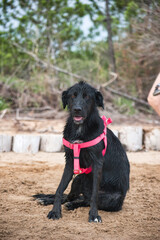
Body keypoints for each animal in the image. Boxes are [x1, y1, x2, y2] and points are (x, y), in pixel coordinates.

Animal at [34, 81, 129, 222]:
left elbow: (94, 195)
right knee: (70, 196)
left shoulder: (97, 162)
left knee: (87, 200)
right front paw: (55, 211)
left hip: (113, 198)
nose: (77, 109)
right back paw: (49, 201)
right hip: (78, 179)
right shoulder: (69, 161)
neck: (80, 128)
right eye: (73, 96)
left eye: (87, 97)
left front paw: (94, 215)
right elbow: (59, 189)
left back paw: (73, 205)